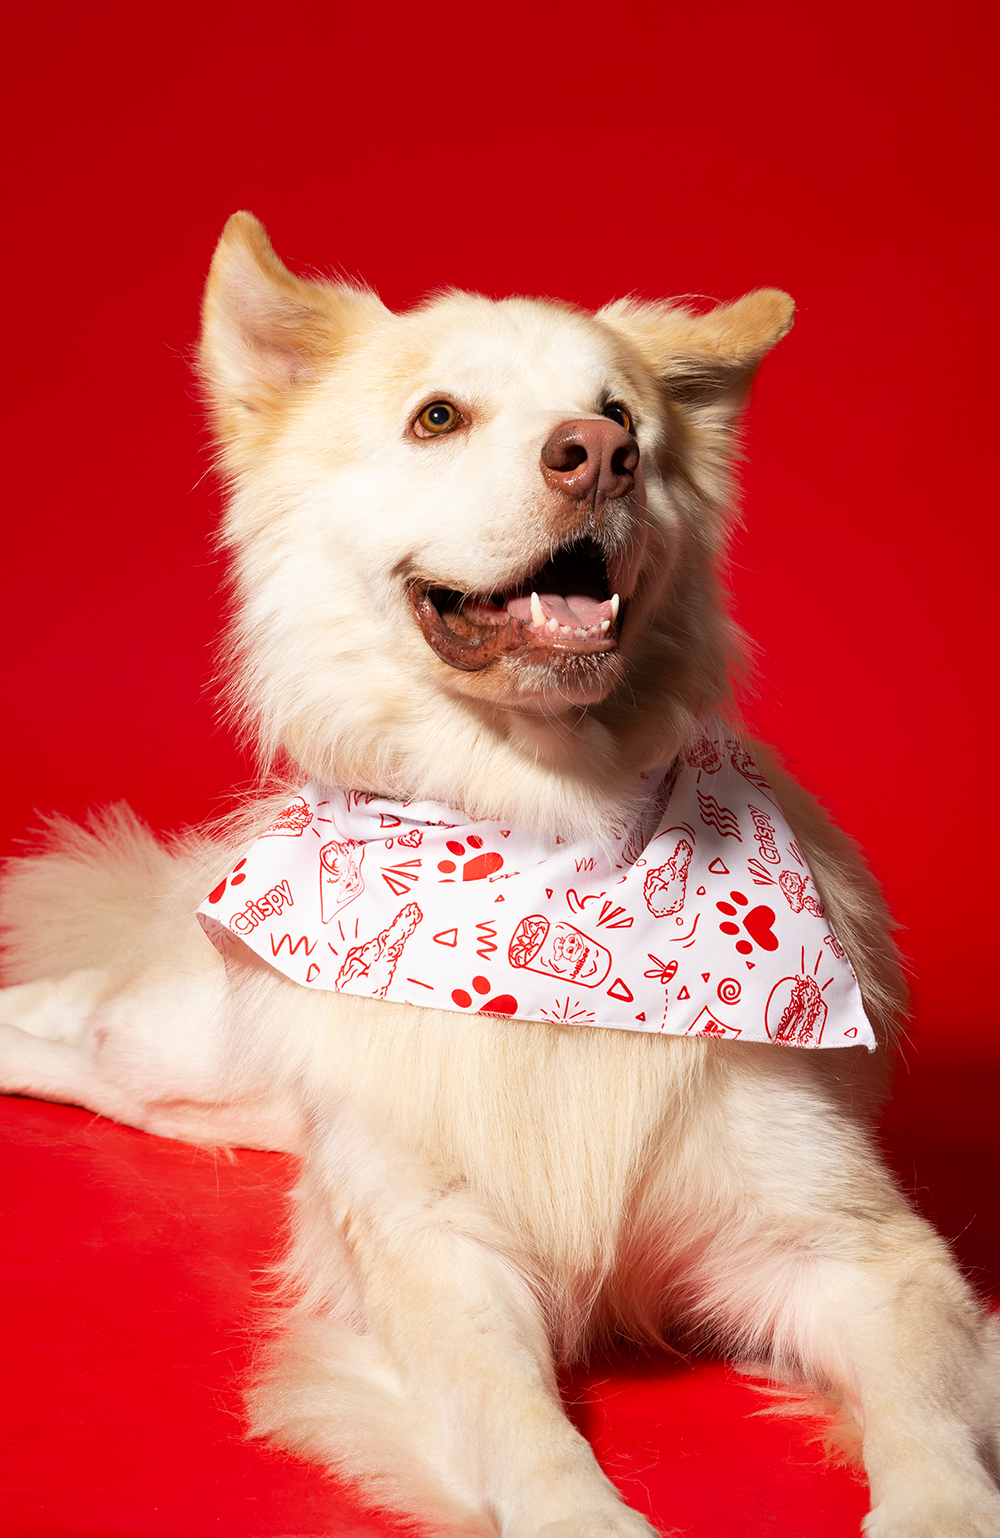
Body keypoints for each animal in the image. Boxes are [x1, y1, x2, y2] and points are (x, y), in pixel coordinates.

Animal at [1, 207, 996, 1538]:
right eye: (437, 417)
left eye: (624, 419)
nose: (597, 457)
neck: (542, 833)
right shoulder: (436, 1254)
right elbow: (519, 1422)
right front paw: (581, 1514)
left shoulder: (851, 1246)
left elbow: (929, 1425)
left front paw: (938, 1510)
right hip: (174, 1046)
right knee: (60, 1009)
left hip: (199, 1099)